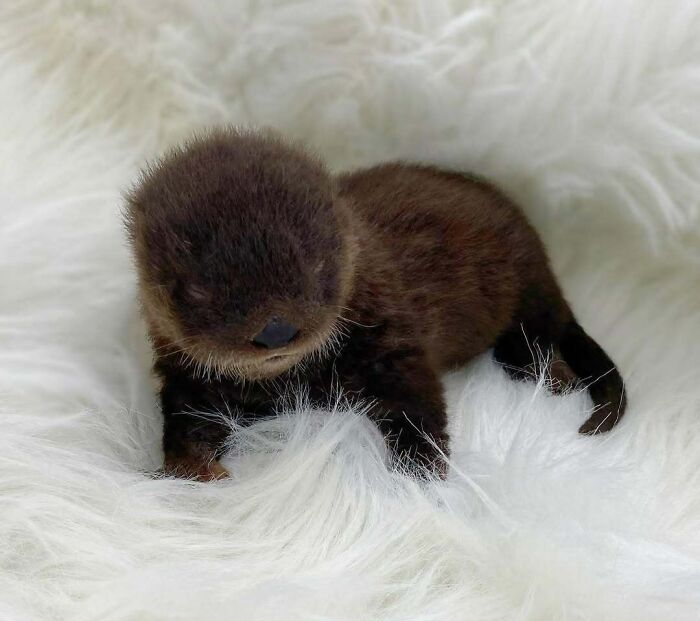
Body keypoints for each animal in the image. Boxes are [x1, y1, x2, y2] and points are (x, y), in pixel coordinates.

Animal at [125, 128, 627, 480]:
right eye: (197, 291)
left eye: (317, 268)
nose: (275, 330)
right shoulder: (190, 379)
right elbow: (186, 423)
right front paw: (194, 467)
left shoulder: (393, 340)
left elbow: (419, 405)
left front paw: (417, 477)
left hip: (529, 291)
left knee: (537, 338)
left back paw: (555, 375)